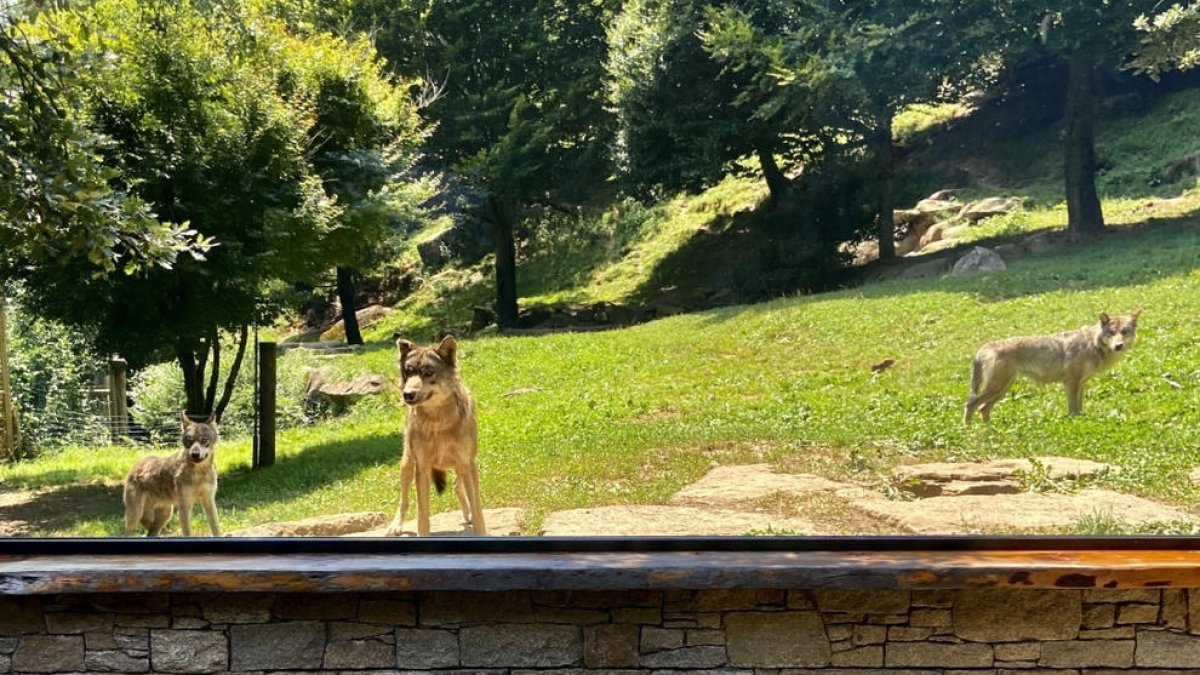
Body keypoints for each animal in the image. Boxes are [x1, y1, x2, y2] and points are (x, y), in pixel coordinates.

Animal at [386, 331, 484, 535]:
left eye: (428, 372)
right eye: (408, 372)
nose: (407, 394)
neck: (438, 422)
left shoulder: (467, 463)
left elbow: (478, 511)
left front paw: (479, 526)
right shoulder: (422, 468)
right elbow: (422, 516)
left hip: (462, 467)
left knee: (457, 487)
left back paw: (468, 515)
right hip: (407, 465)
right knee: (403, 500)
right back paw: (395, 526)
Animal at [964, 309, 1142, 422]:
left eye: (1124, 332)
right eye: (1111, 332)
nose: (1118, 346)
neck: (1093, 343)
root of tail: (984, 347)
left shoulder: (1081, 384)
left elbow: (1080, 408)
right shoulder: (1070, 383)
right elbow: (1073, 410)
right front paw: (1075, 423)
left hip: (1002, 390)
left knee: (983, 408)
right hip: (997, 388)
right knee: (971, 404)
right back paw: (968, 431)